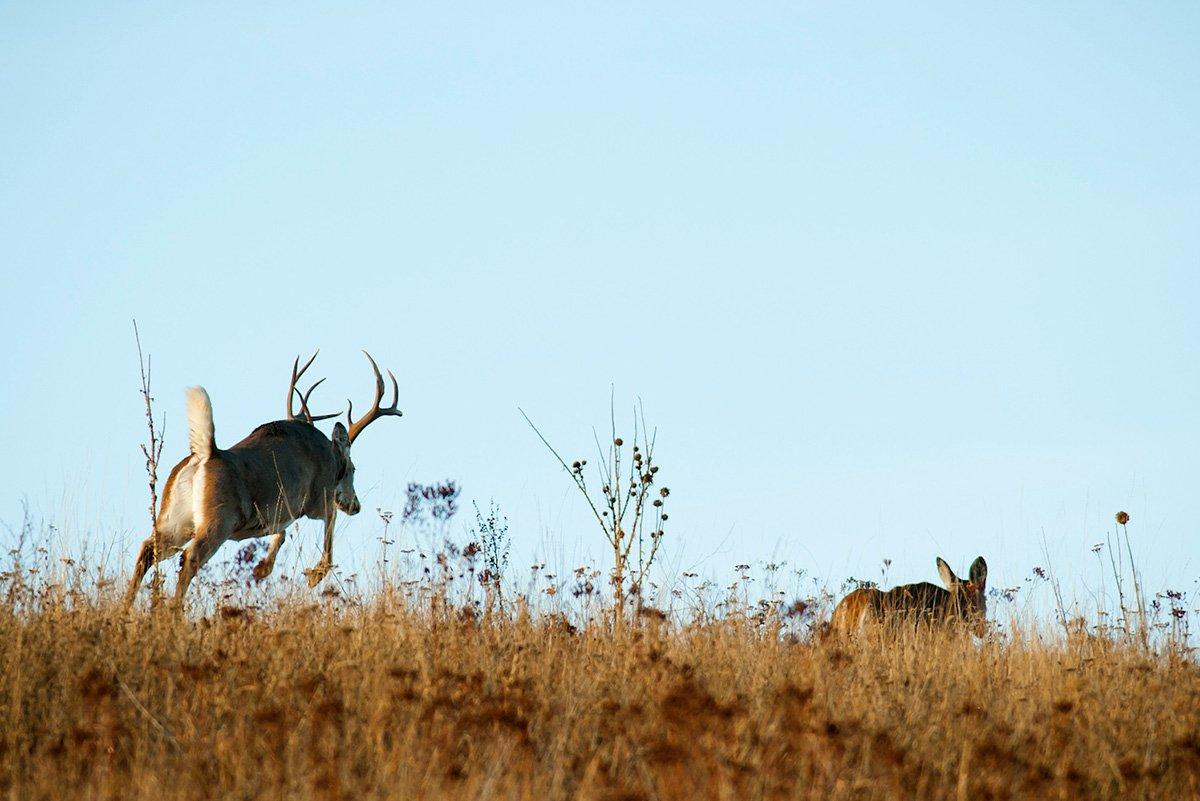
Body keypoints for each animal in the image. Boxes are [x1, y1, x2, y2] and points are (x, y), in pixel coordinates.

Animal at [124, 352, 403, 606]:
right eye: (354, 469)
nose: (355, 505)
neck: (328, 456)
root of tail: (207, 453)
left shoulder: (275, 513)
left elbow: (281, 534)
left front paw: (262, 569)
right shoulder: (315, 499)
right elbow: (328, 530)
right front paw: (315, 575)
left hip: (177, 519)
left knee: (149, 549)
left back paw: (127, 607)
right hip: (219, 519)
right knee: (189, 557)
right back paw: (172, 611)